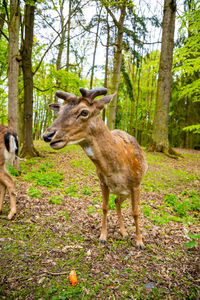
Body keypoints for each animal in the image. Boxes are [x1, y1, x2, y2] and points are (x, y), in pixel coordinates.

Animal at [43, 87, 148, 248]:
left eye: (84, 112)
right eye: (59, 111)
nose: (48, 135)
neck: (116, 169)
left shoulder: (136, 184)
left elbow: (135, 212)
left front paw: (140, 242)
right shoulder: (103, 182)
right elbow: (104, 207)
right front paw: (103, 236)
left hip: (128, 190)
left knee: (120, 204)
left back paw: (126, 234)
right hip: (122, 192)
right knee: (117, 203)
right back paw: (124, 233)